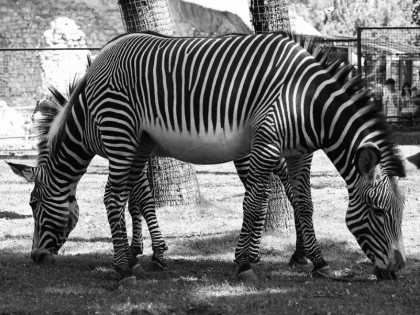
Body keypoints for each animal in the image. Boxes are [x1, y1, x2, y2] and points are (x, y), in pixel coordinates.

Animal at [7, 31, 406, 286]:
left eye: (397, 212)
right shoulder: (266, 143)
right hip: (122, 132)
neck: (305, 100)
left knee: (117, 197)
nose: (398, 270)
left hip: (131, 139)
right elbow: (253, 205)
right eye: (379, 212)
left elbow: (303, 204)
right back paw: (122, 268)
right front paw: (243, 263)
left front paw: (319, 263)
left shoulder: (298, 153)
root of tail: (101, 58)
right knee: (112, 197)